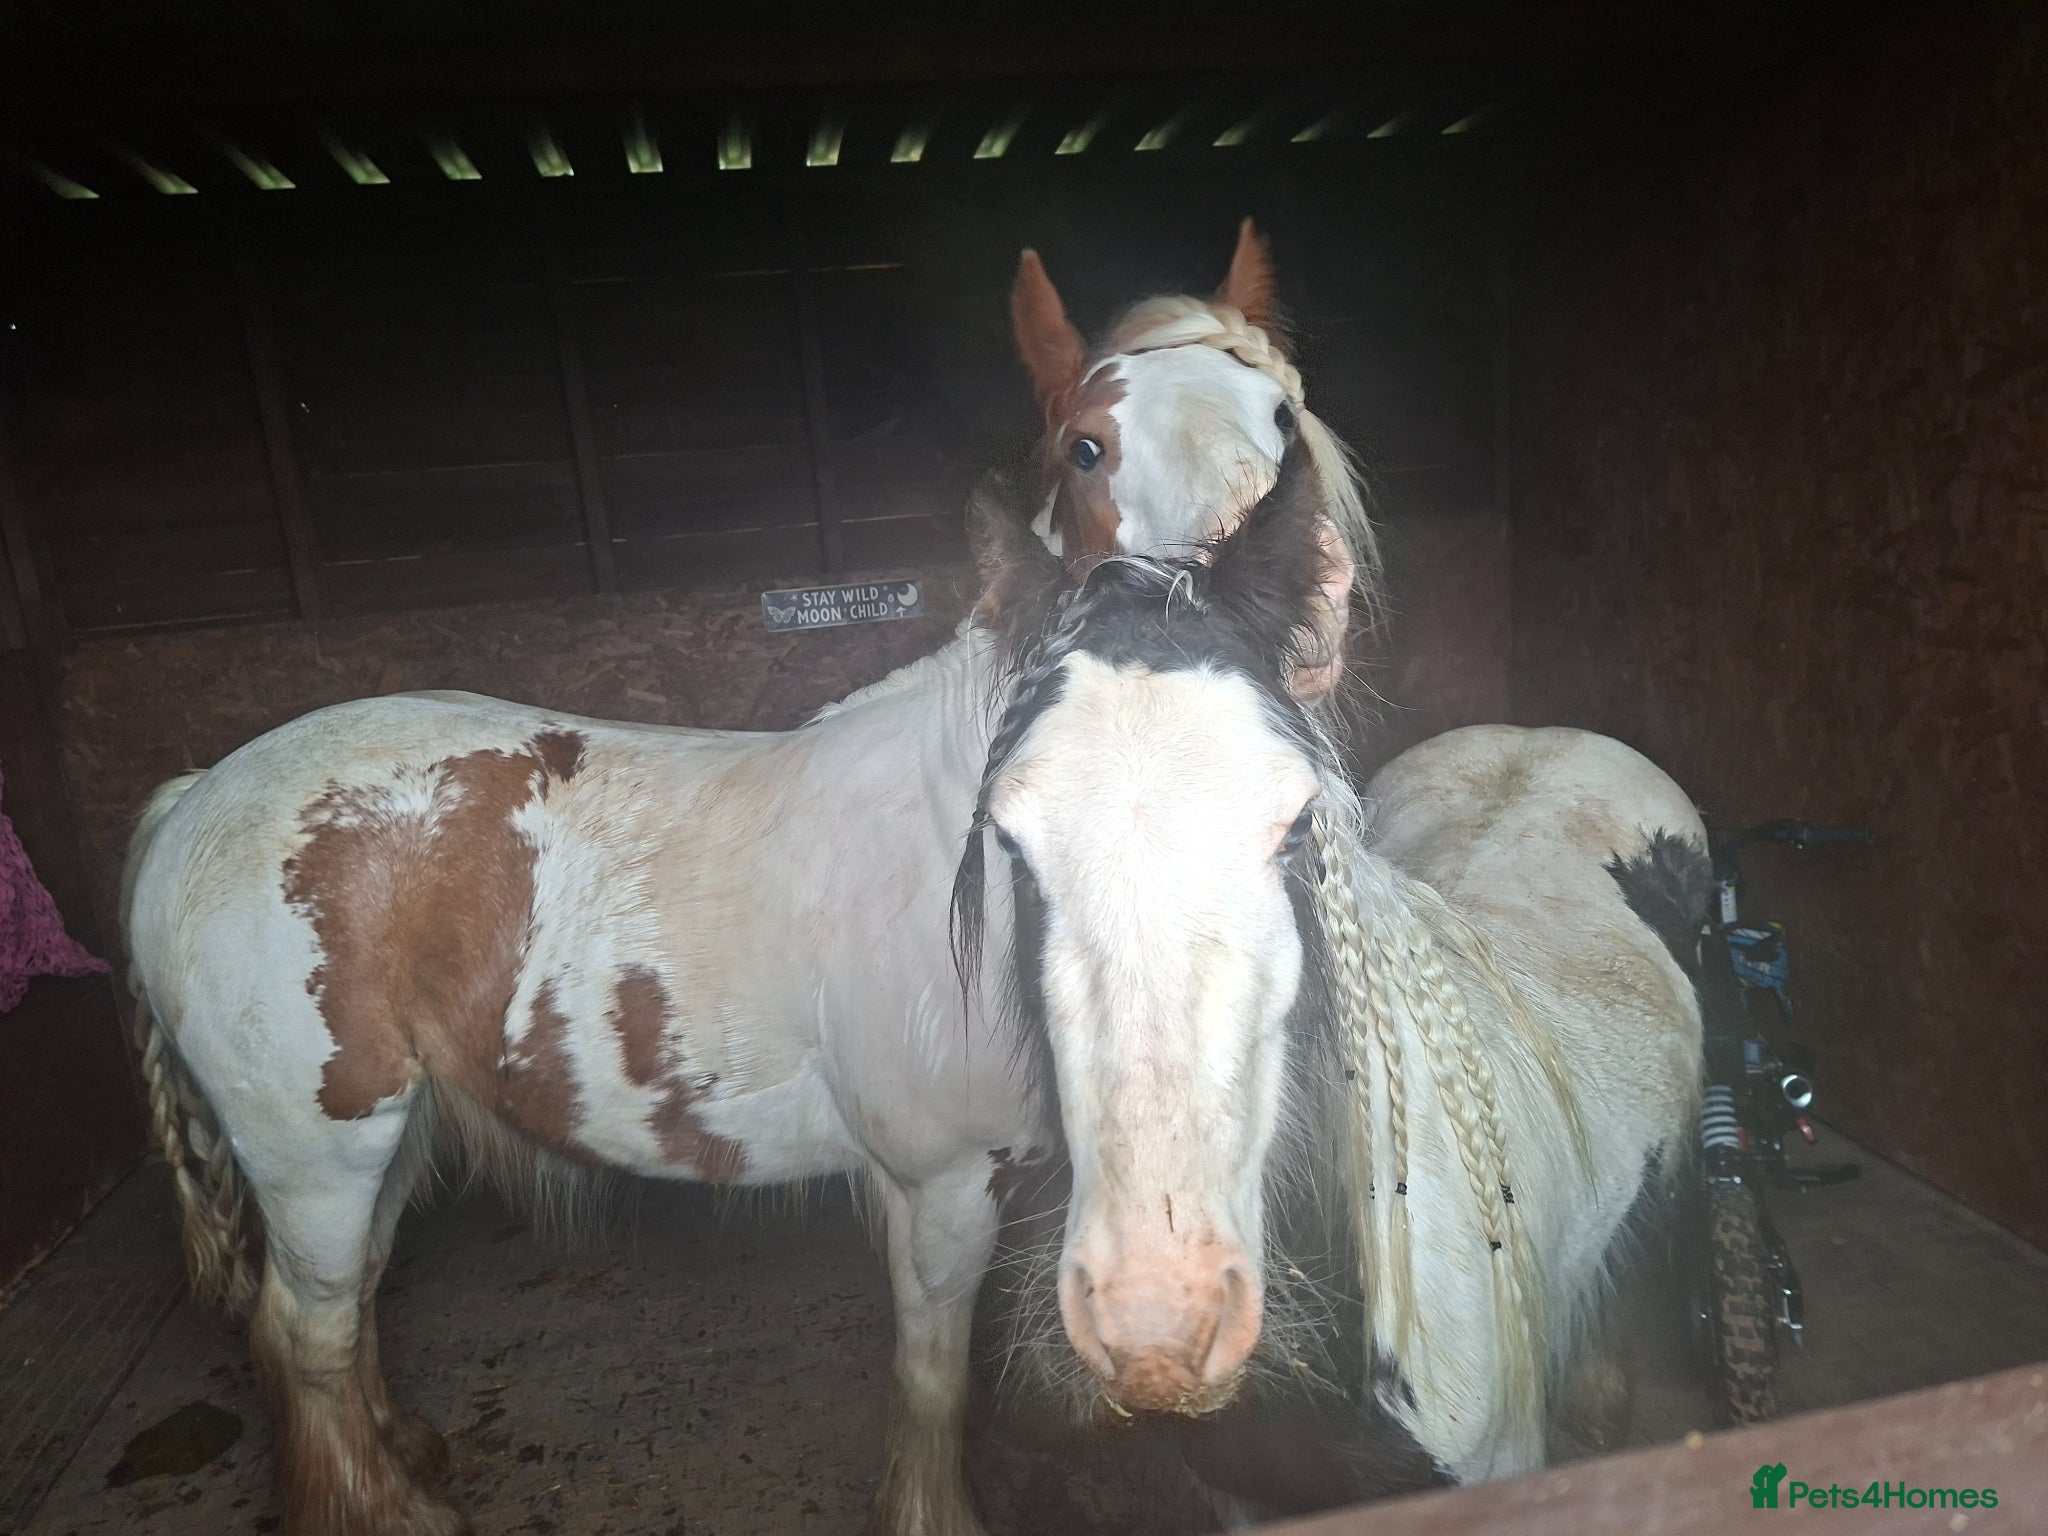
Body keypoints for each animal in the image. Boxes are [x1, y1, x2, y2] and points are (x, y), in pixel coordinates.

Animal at [118, 224, 1374, 1536]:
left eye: (1281, 415)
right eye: (1088, 444)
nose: (1287, 608)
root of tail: (196, 796)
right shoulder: (938, 1185)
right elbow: (931, 1378)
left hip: (385, 1136)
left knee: (350, 1307)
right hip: (318, 1153)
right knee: (306, 1332)